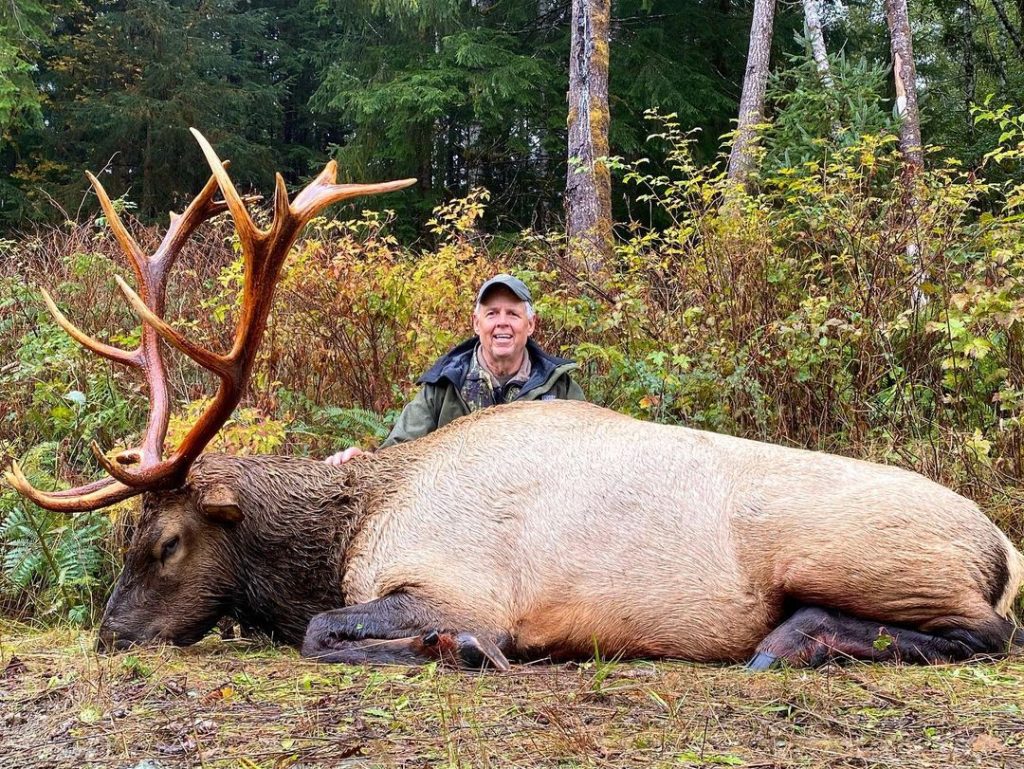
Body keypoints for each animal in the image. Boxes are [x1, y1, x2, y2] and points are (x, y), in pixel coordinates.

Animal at [6, 130, 1023, 671]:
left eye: (166, 541)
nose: (109, 635)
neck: (348, 528)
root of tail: (1001, 545)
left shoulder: (456, 581)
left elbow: (330, 633)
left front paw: (455, 649)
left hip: (849, 549)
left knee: (989, 627)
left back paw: (796, 639)